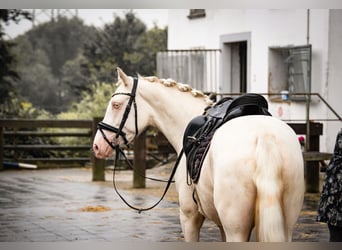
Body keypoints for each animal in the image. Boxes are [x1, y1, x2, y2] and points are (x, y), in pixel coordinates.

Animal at [92, 67, 304, 241]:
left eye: (116, 104)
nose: (97, 145)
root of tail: (265, 138)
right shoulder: (220, 225)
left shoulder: (189, 217)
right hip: (286, 225)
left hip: (236, 228)